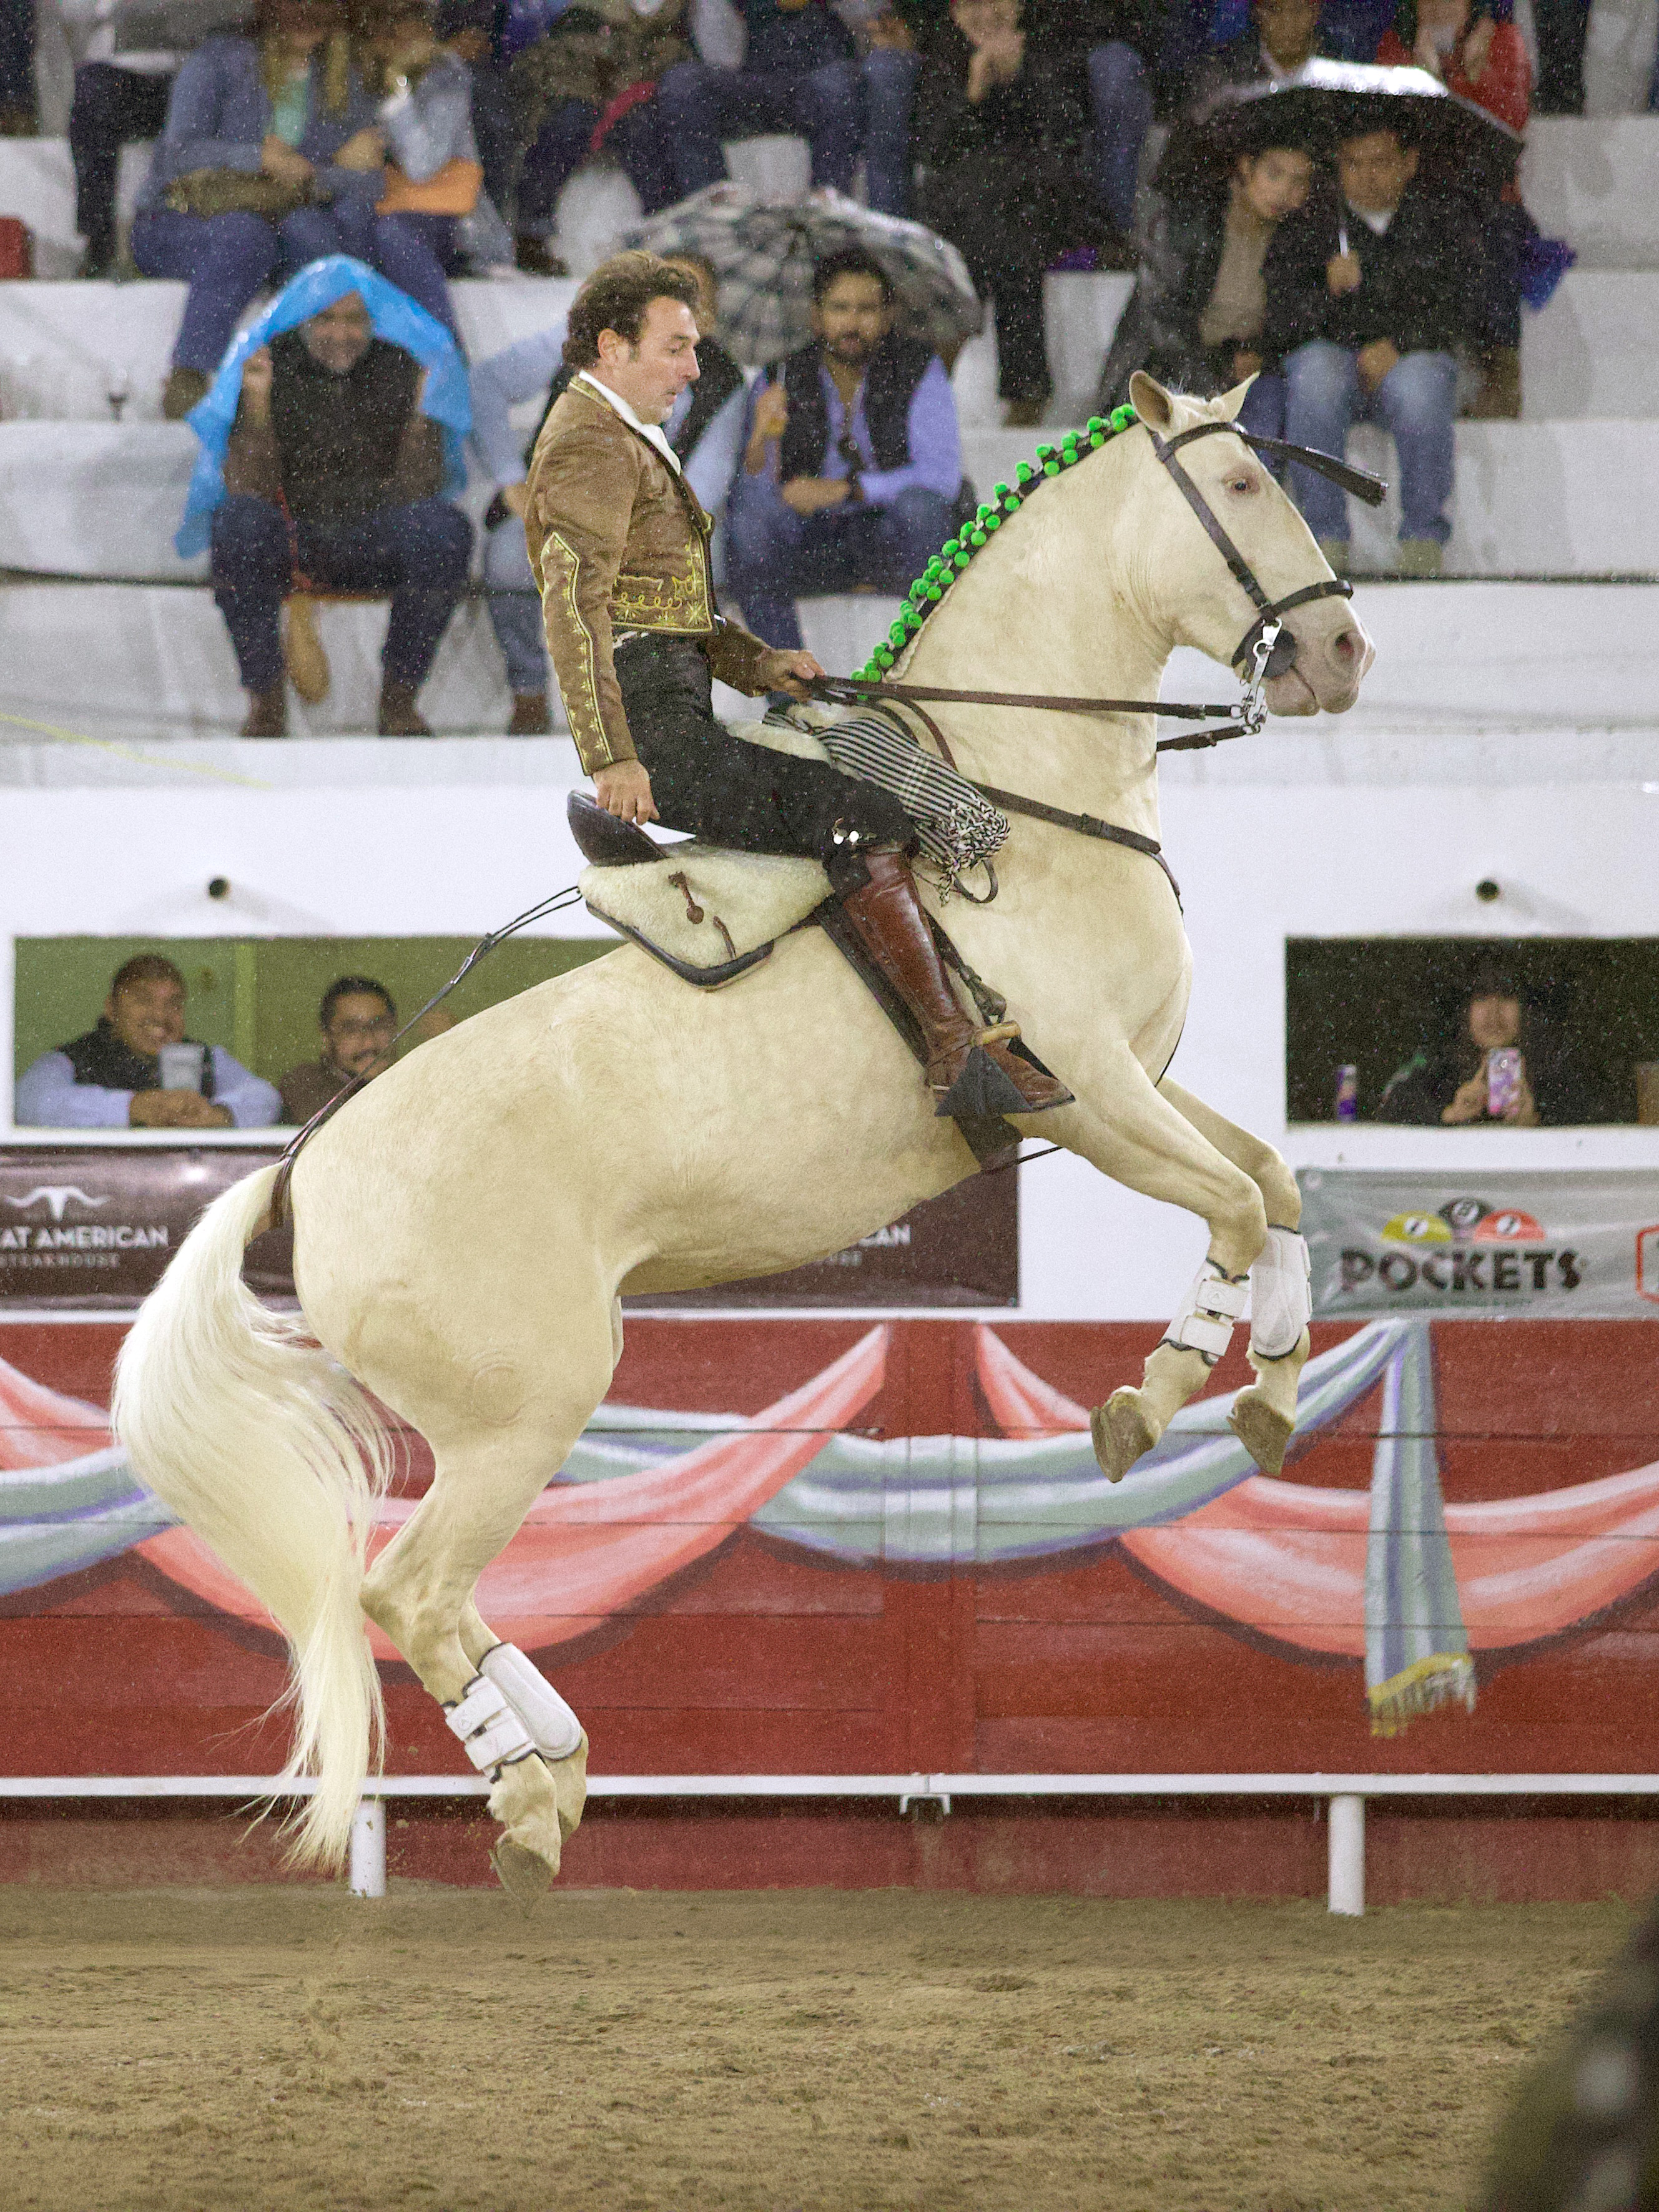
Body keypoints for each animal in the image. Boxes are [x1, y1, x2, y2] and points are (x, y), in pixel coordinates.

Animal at [117, 380, 1380, 1902]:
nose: (1340, 651)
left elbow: (1270, 1181)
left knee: (436, 1597)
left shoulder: (1139, 1082)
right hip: (529, 1408)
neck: (1020, 799)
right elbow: (1235, 1206)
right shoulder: (1082, 1092)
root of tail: (302, 1166)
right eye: (1244, 484)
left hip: (506, 1416)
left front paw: (1269, 1393)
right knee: (407, 1589)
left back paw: (560, 1764)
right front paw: (1148, 1402)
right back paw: (528, 1804)